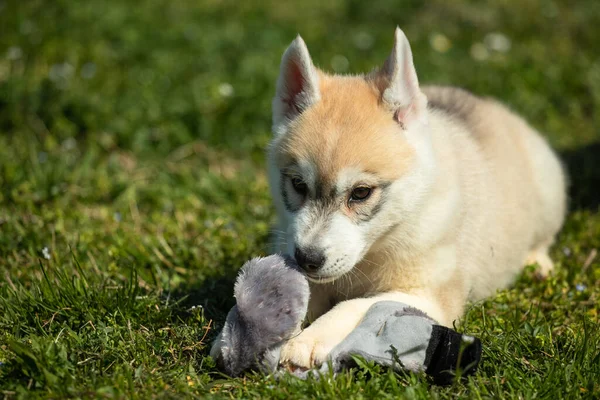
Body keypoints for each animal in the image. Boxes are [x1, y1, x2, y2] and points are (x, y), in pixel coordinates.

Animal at [268, 26, 568, 368]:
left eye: (361, 193)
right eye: (298, 184)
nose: (308, 259)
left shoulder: (429, 296)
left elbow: (357, 305)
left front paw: (310, 339)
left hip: (549, 188)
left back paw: (537, 263)